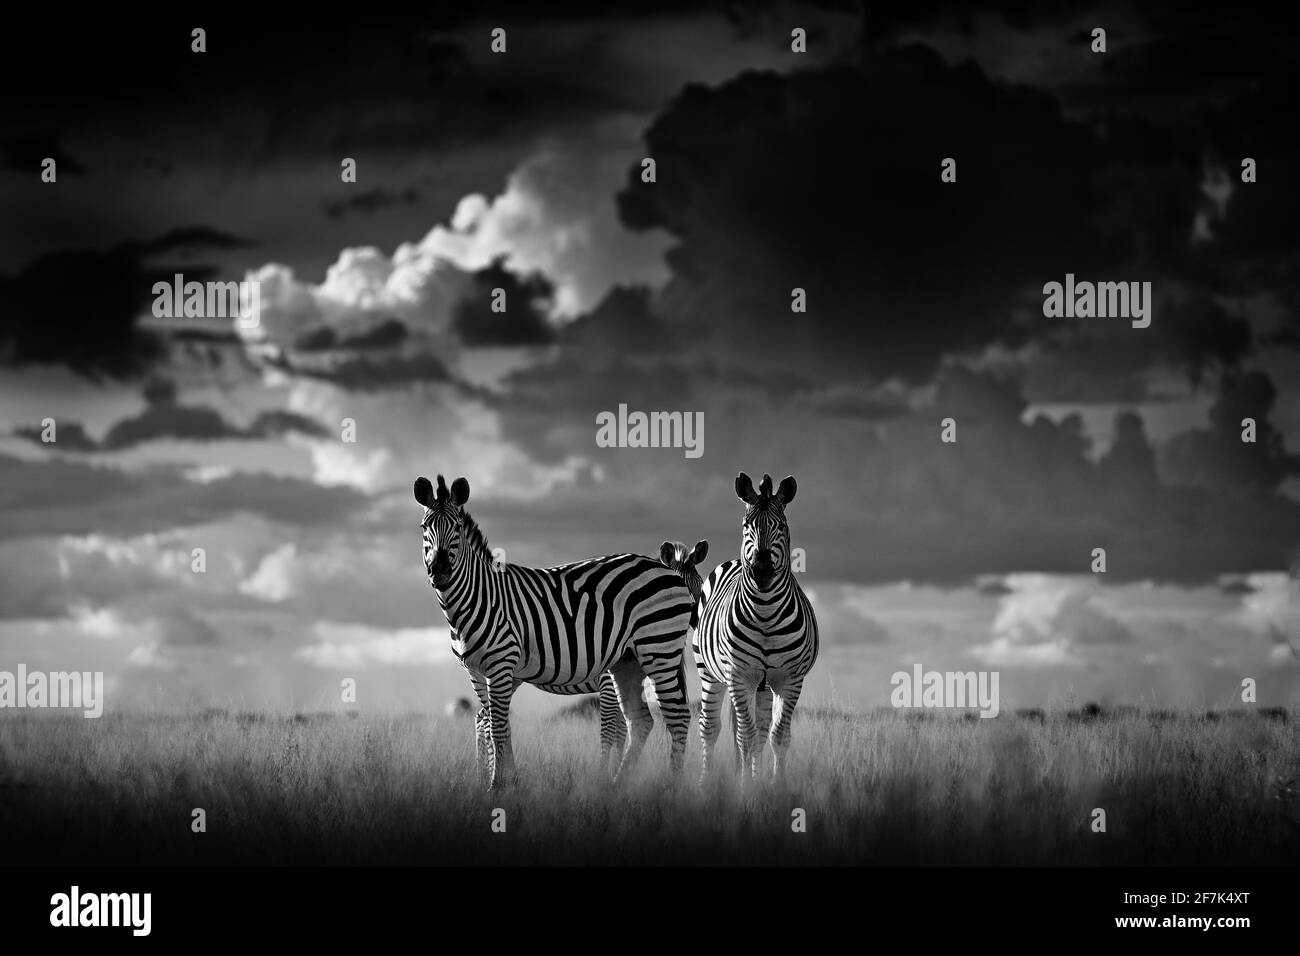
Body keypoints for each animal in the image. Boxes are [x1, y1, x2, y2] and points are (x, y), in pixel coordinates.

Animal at [414, 474, 694, 789]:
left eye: (458, 528)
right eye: (424, 528)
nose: (439, 570)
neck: (479, 596)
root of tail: (665, 571)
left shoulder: (501, 665)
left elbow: (499, 726)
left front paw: (497, 786)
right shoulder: (476, 672)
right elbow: (492, 723)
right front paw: (502, 782)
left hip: (659, 651)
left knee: (678, 717)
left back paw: (670, 787)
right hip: (628, 662)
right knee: (641, 720)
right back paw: (616, 785)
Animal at [694, 472, 818, 787]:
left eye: (782, 526)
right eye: (746, 526)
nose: (761, 570)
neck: (765, 614)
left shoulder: (790, 679)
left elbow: (777, 736)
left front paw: (773, 786)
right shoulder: (739, 676)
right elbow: (745, 737)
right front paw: (746, 789)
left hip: (763, 685)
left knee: (761, 731)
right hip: (710, 673)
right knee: (711, 729)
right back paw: (705, 783)